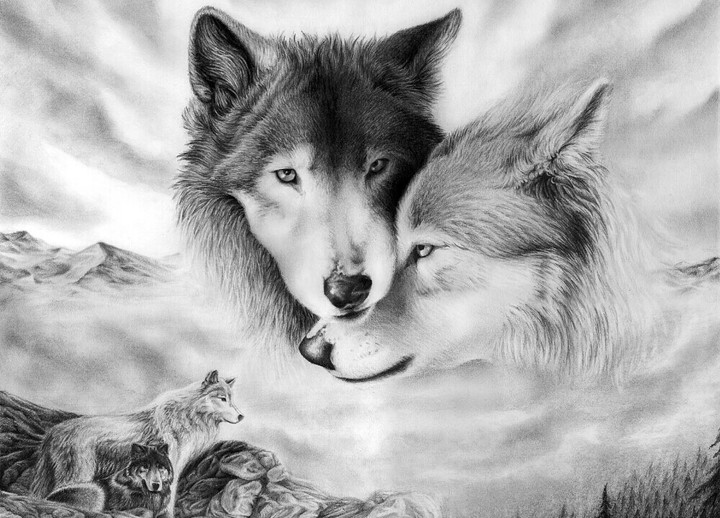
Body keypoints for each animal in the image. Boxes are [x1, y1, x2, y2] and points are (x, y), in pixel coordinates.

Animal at [31, 370, 242, 517]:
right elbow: (169, 499)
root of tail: (53, 431)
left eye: (232, 400)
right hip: (78, 477)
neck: (187, 415)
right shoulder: (171, 467)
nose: (241, 416)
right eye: (223, 399)